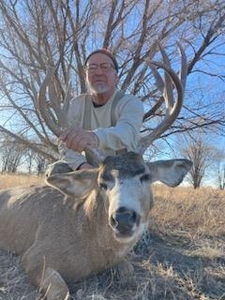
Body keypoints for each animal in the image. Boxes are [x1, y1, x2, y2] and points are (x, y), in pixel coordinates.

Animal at [0, 44, 192, 300]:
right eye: (102, 182)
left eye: (145, 176)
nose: (123, 218)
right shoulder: (33, 257)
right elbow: (62, 290)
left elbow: (129, 270)